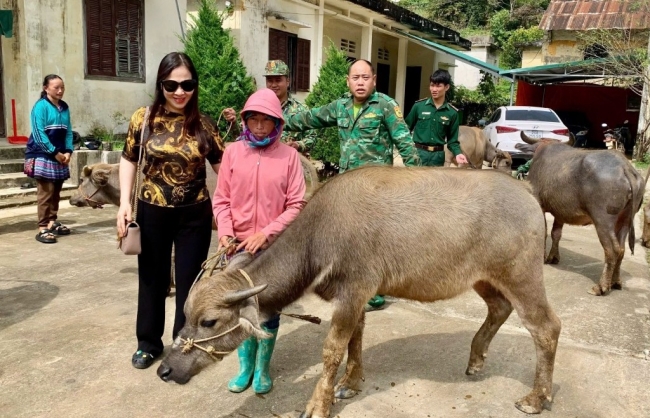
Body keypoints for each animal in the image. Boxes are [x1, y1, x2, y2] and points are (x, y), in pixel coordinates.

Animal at [159, 166, 560, 414]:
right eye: (186, 316)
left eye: (209, 322)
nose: (165, 369)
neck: (318, 236)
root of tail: (527, 193)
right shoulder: (356, 298)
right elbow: (356, 338)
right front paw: (350, 384)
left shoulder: (353, 292)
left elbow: (332, 350)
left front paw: (318, 405)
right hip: (483, 277)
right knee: (500, 309)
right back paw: (476, 359)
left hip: (522, 276)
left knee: (545, 327)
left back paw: (536, 398)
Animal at [520, 132, 644, 296]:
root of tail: (625, 168)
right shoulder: (560, 211)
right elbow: (556, 233)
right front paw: (553, 257)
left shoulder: (540, 204)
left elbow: (545, 231)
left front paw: (543, 257)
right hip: (624, 220)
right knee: (622, 249)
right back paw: (615, 282)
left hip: (603, 220)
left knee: (612, 250)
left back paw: (601, 286)